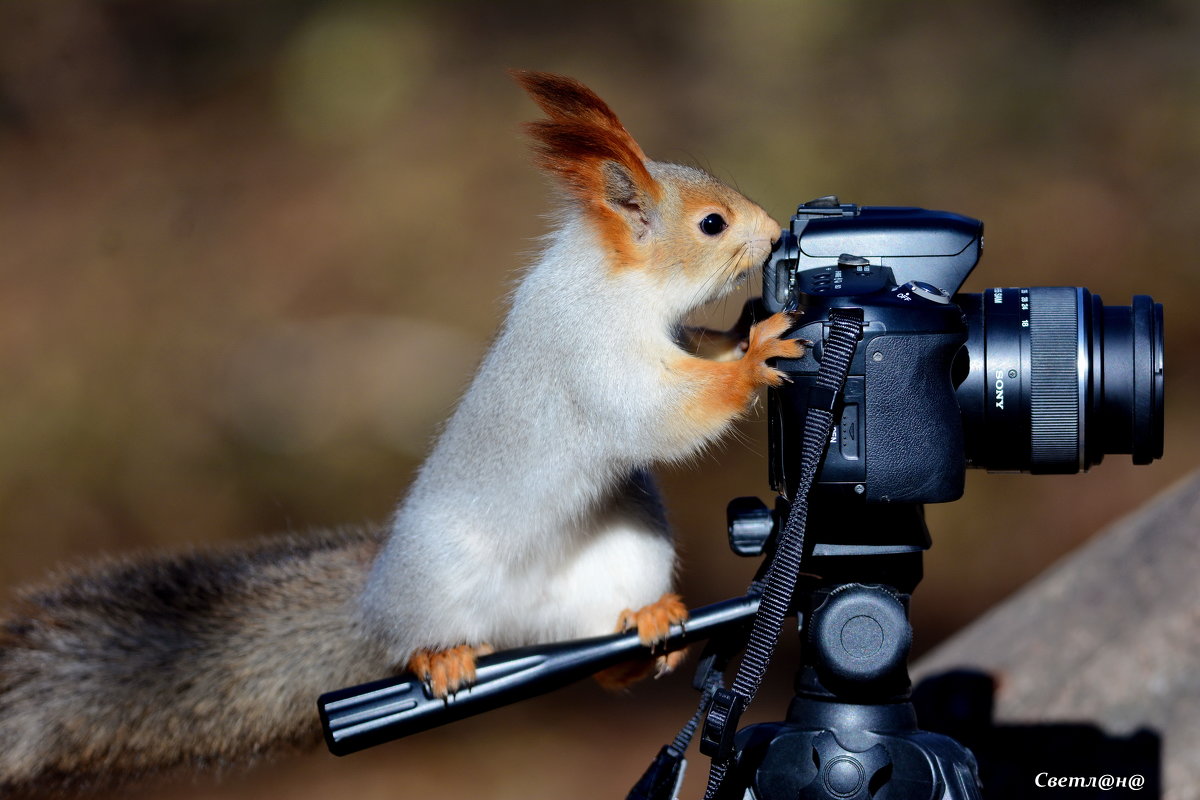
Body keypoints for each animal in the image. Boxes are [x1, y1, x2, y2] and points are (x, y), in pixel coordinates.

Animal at [2, 70, 806, 796]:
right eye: (712, 224)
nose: (775, 233)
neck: (616, 281)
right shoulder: (589, 353)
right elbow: (656, 416)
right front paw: (757, 356)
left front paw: (746, 333)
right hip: (439, 577)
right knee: (417, 641)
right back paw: (440, 659)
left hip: (625, 555)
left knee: (606, 661)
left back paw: (650, 623)